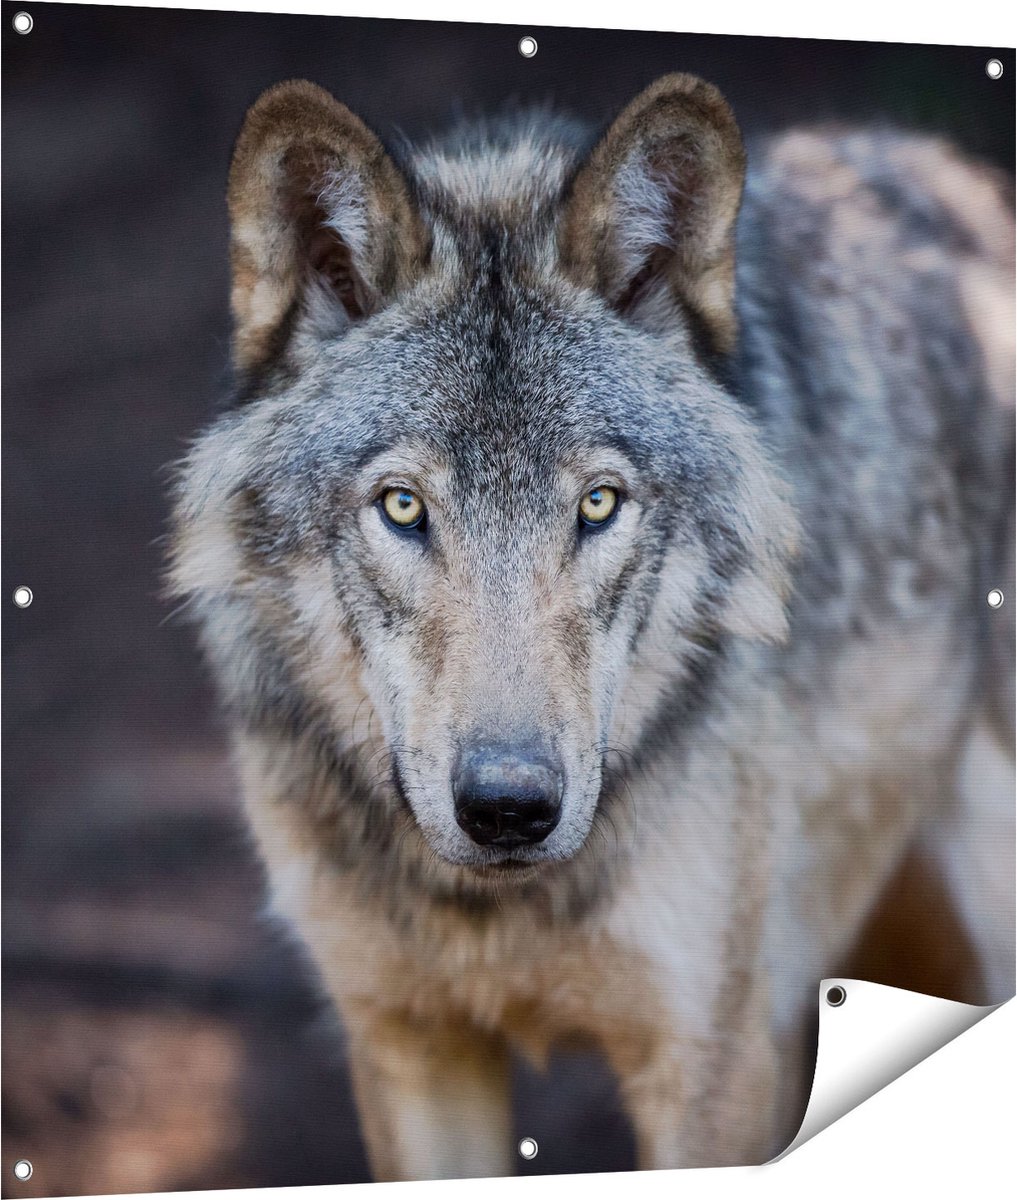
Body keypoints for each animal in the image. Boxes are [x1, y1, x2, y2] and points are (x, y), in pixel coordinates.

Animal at [169, 73, 1015, 1177]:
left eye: (599, 504)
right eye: (403, 506)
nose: (508, 809)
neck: (495, 910)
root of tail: (947, 177)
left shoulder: (707, 1061)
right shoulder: (410, 1046)